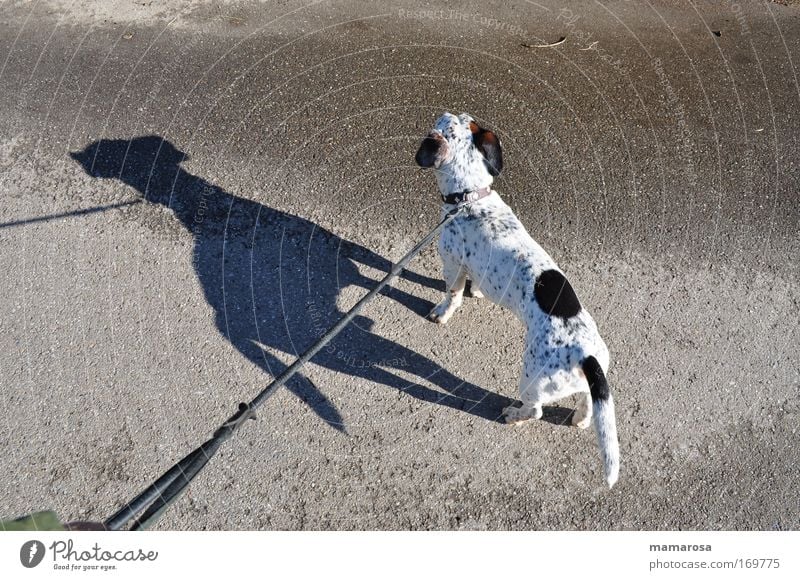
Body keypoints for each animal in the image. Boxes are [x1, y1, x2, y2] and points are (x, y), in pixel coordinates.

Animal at [416, 111, 620, 488]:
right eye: (465, 121)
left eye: (444, 123)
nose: (444, 111)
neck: (471, 196)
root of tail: (587, 357)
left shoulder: (451, 262)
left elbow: (451, 294)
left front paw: (442, 311)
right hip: (583, 386)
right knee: (587, 402)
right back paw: (580, 420)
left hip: (531, 378)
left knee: (535, 410)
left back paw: (513, 414)